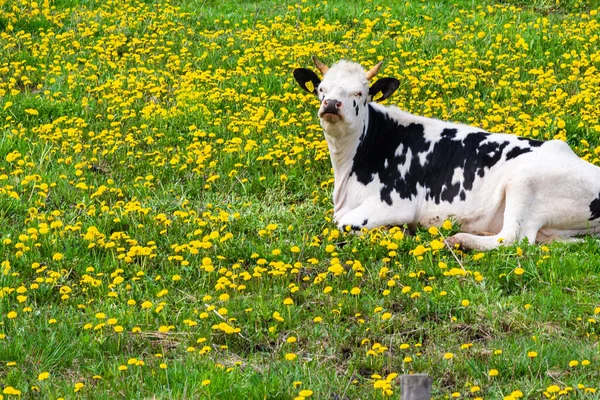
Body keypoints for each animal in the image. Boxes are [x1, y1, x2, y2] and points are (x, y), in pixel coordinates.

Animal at [292, 56, 600, 250]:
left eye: (359, 93)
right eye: (321, 89)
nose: (331, 104)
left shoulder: (395, 204)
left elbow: (343, 223)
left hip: (525, 182)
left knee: (514, 238)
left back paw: (458, 240)